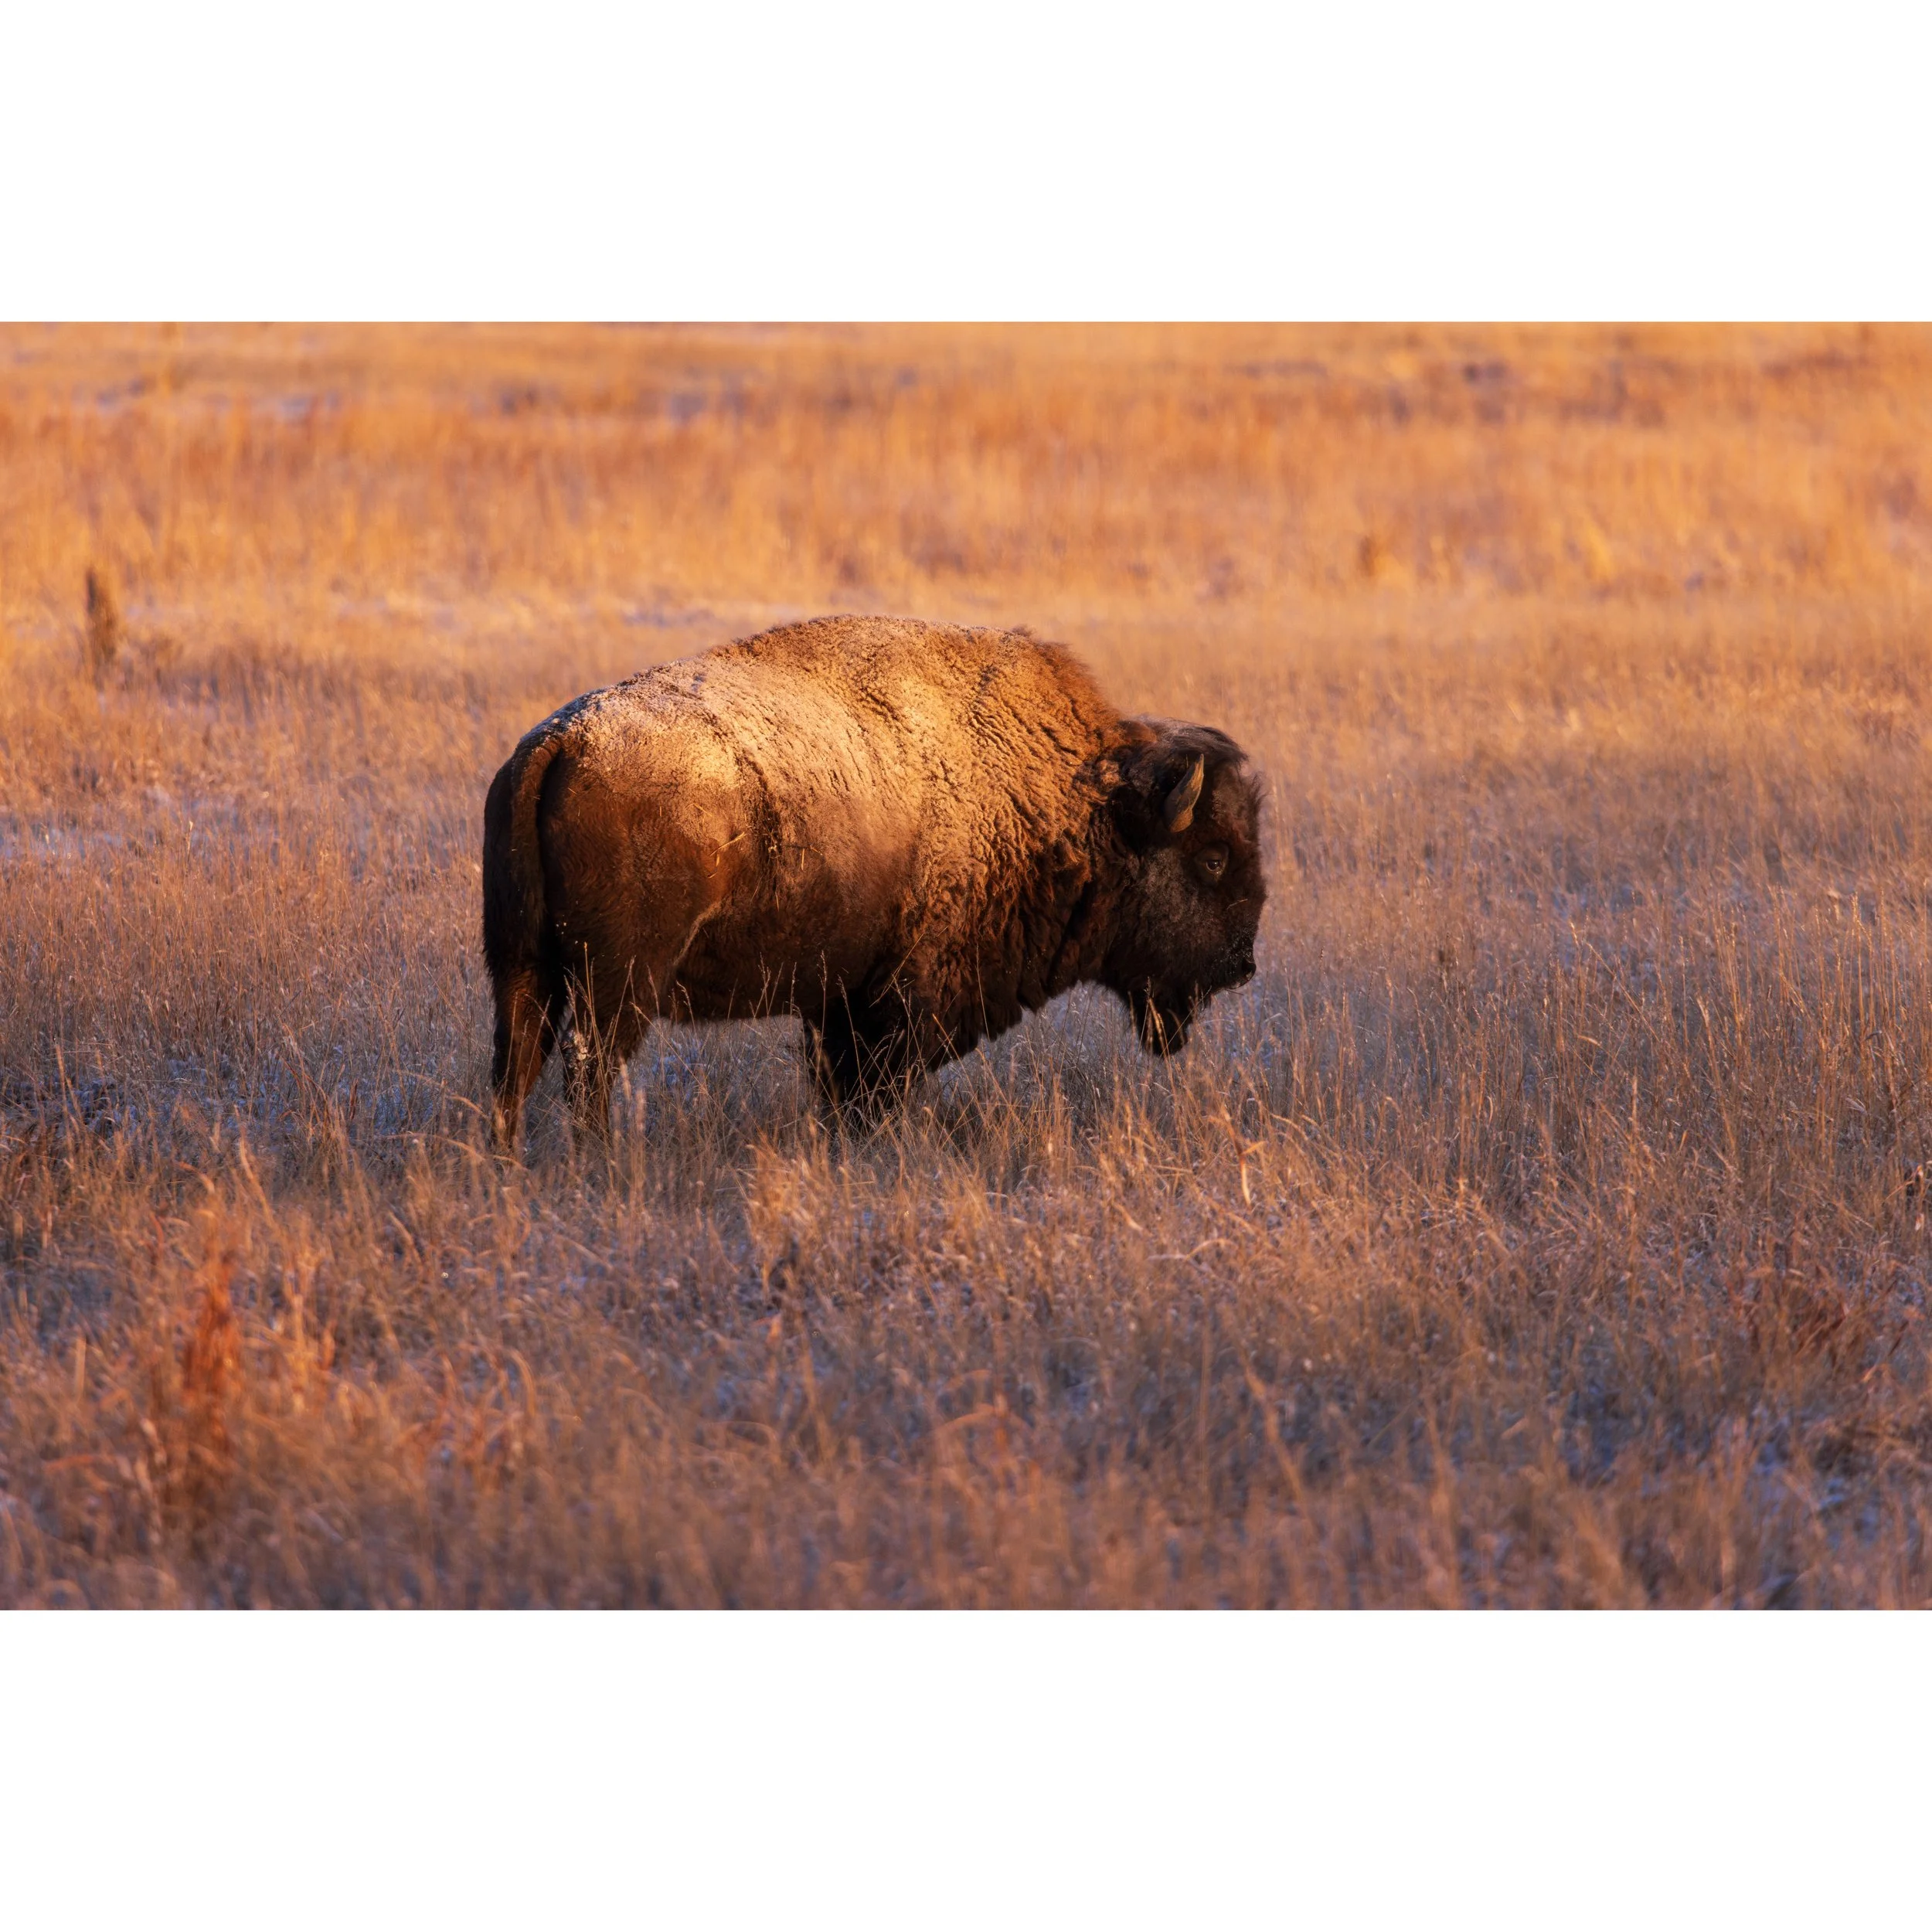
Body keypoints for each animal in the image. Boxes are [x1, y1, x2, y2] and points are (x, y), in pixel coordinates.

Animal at [482, 615, 1264, 1155]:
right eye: (1213, 857)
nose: (1243, 965)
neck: (1078, 802)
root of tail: (562, 741)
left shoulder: (839, 1001)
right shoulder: (899, 1003)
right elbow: (869, 1089)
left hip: (522, 965)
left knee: (516, 1061)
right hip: (618, 984)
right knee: (586, 1068)